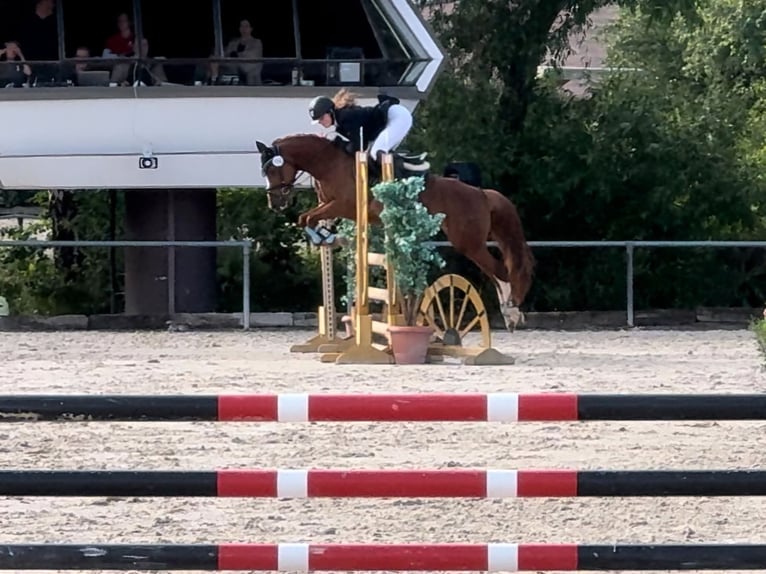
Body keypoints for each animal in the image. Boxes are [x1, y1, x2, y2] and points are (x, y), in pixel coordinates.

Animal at [255, 134, 536, 330]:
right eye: (264, 170)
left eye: (273, 168)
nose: (274, 203)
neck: (329, 164)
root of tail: (481, 194)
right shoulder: (329, 206)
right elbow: (307, 218)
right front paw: (325, 237)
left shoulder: (344, 205)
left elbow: (307, 217)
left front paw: (324, 237)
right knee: (496, 273)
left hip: (468, 242)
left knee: (499, 271)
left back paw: (511, 313)